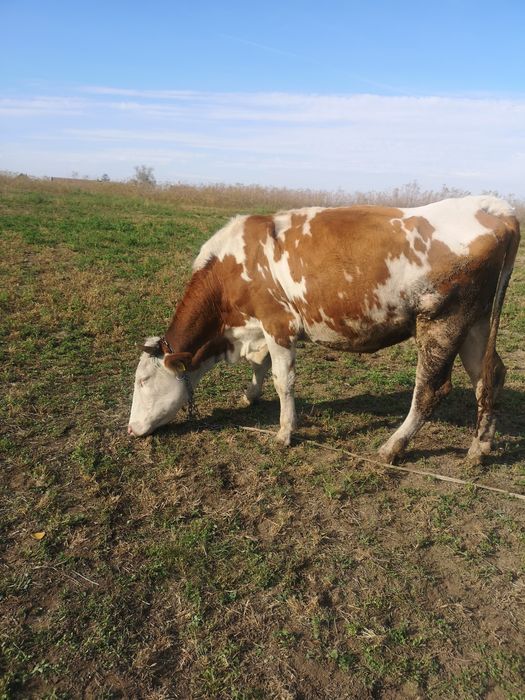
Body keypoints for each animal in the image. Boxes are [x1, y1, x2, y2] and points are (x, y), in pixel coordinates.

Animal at [128, 196, 520, 465]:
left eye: (143, 382)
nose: (131, 429)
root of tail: (493, 206)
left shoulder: (277, 323)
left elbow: (282, 380)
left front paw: (284, 432)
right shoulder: (260, 327)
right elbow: (260, 365)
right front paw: (250, 395)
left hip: (442, 322)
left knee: (431, 391)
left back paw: (392, 447)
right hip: (475, 324)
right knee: (489, 377)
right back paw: (479, 448)